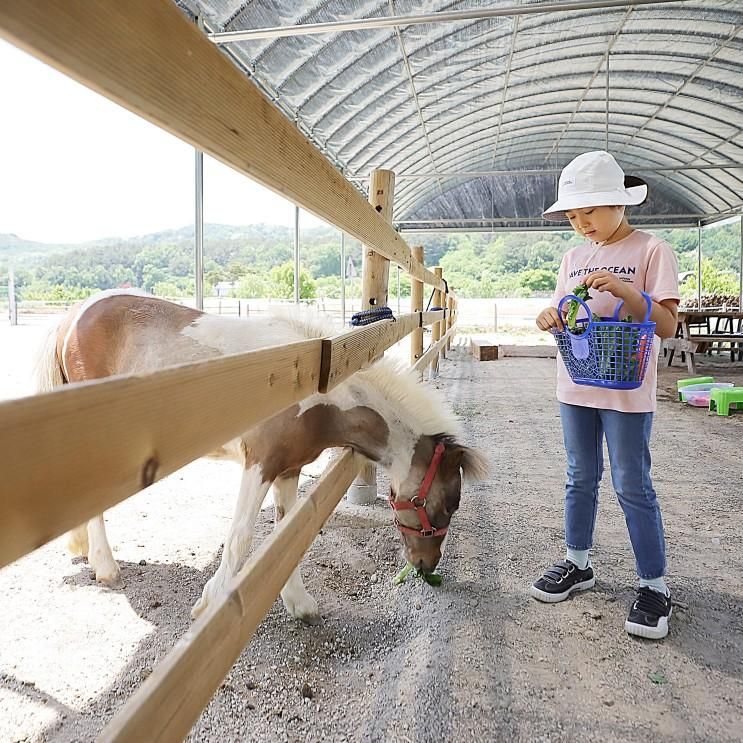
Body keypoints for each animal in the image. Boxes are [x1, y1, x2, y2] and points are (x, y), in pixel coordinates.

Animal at [35, 290, 488, 620]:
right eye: (449, 503)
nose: (427, 564)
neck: (318, 389)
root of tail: (72, 317)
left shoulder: (289, 470)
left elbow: (287, 537)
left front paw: (299, 602)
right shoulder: (260, 465)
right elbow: (240, 538)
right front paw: (210, 603)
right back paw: (106, 567)